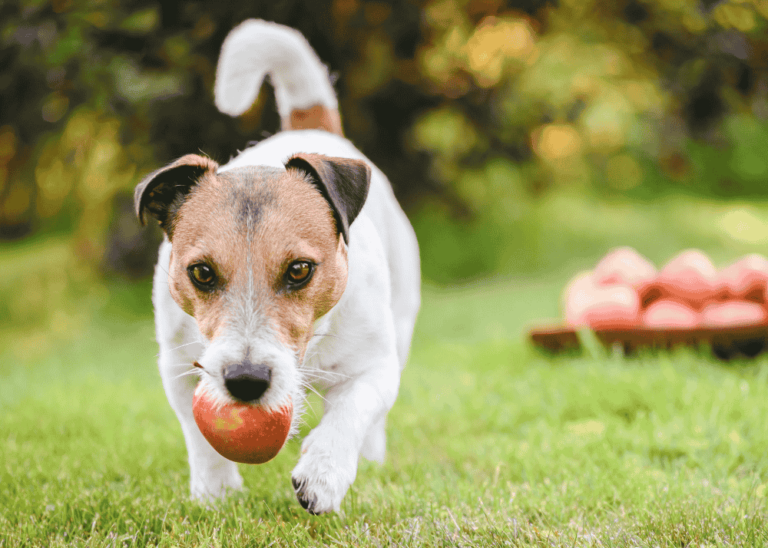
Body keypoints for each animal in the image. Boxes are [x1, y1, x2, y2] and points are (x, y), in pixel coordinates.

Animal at [132, 20, 420, 512]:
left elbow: (353, 409)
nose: (246, 380)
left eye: (300, 270)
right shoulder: (177, 367)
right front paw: (214, 493)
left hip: (401, 322)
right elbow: (199, 435)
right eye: (201, 272)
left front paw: (324, 472)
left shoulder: (375, 366)